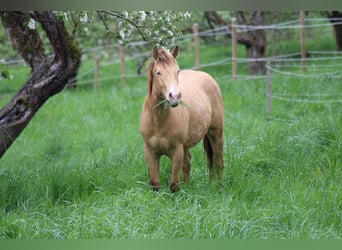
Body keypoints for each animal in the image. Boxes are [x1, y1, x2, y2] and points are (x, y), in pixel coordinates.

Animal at [140, 46, 224, 191]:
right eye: (158, 72)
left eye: (177, 71)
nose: (175, 97)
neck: (158, 122)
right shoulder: (150, 151)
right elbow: (155, 184)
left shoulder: (177, 150)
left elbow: (174, 185)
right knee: (190, 163)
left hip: (215, 133)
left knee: (218, 160)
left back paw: (218, 185)